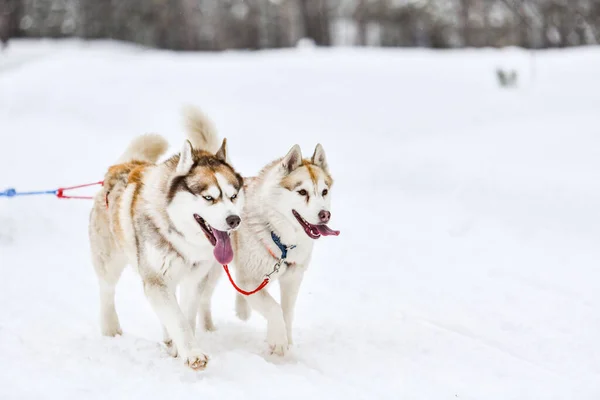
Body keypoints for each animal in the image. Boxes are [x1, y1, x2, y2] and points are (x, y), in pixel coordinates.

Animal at [88, 108, 243, 368]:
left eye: (233, 196)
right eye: (209, 197)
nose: (234, 220)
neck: (183, 240)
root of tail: (121, 165)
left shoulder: (194, 280)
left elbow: (185, 317)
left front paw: (182, 346)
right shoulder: (156, 280)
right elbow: (177, 319)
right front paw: (193, 353)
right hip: (109, 261)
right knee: (107, 291)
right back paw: (110, 329)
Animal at [185, 116, 338, 356]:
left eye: (324, 192)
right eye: (302, 192)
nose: (325, 215)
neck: (278, 238)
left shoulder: (292, 279)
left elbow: (286, 313)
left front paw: (287, 343)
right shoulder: (250, 280)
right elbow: (274, 309)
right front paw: (278, 342)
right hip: (212, 270)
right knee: (202, 299)